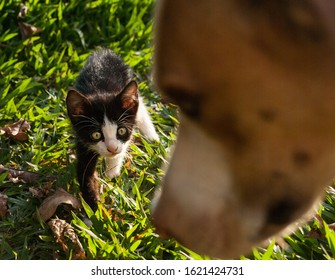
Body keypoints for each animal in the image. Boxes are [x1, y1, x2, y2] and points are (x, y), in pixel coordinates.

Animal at [67, 48, 159, 210]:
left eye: (121, 131)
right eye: (96, 135)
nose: (112, 148)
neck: (100, 90)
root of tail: (104, 51)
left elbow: (121, 151)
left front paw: (111, 173)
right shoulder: (82, 140)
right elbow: (85, 172)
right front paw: (95, 208)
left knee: (140, 107)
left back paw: (151, 136)